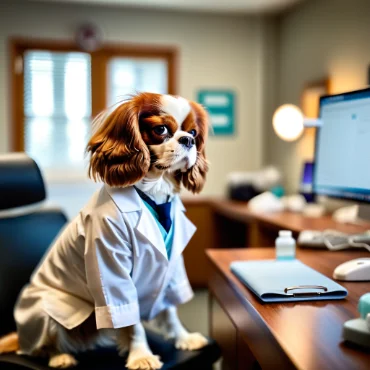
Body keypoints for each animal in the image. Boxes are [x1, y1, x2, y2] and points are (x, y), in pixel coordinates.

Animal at [0, 93, 208, 370]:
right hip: (47, 309)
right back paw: (60, 357)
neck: (154, 196)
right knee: (43, 344)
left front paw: (184, 338)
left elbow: (170, 310)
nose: (188, 140)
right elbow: (131, 320)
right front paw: (141, 356)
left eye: (194, 132)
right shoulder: (112, 270)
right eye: (161, 130)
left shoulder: (171, 268)